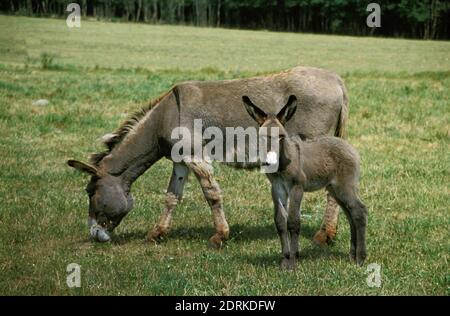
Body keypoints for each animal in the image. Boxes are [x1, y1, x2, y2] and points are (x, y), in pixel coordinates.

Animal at [243, 95, 366, 270]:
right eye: (261, 137)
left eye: (281, 136)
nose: (270, 161)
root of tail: (350, 147)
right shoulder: (277, 188)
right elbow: (280, 222)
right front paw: (284, 260)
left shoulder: (297, 187)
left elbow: (293, 221)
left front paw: (293, 262)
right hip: (335, 189)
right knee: (351, 214)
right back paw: (352, 255)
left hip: (345, 186)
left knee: (359, 211)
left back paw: (361, 258)